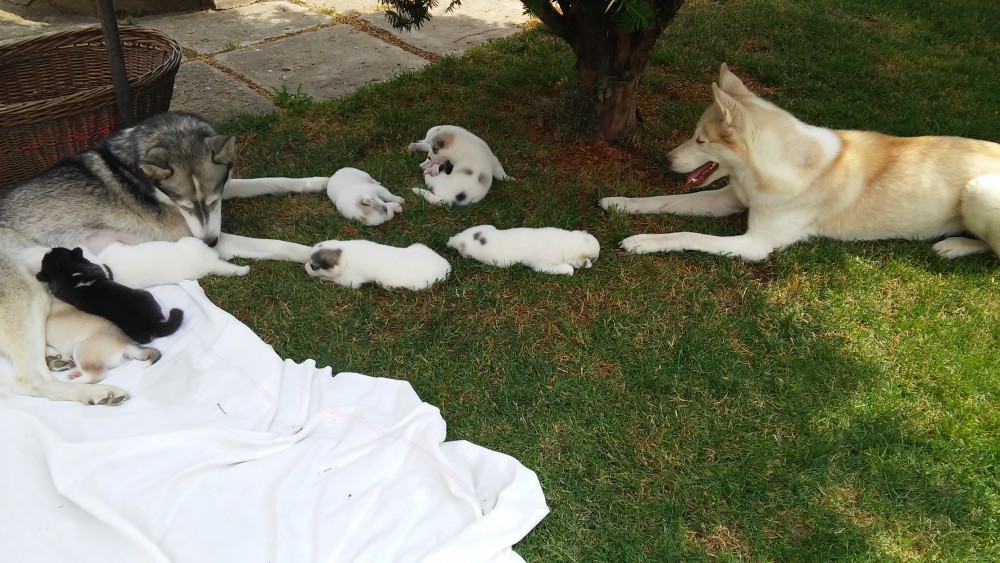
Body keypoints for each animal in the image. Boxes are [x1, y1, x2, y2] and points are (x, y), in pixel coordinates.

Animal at [447, 225, 600, 275]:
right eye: (594, 258)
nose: (596, 260)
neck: (565, 242)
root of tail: (457, 239)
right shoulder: (543, 266)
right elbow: (569, 269)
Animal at [599, 63, 1000, 262]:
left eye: (700, 140)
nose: (663, 159)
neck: (773, 168)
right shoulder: (727, 198)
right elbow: (665, 201)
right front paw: (621, 203)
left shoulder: (756, 244)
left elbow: (688, 235)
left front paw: (643, 242)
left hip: (979, 191)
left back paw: (955, 247)